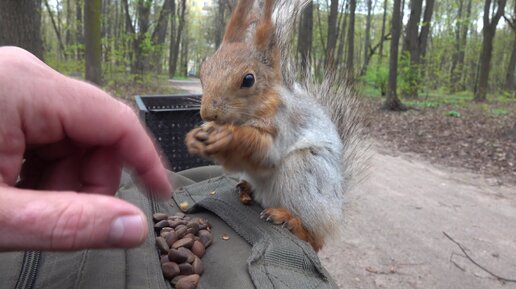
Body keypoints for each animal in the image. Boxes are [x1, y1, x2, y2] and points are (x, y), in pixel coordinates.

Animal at [184, 0, 366, 250]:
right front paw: (194, 138)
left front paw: (230, 136)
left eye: (248, 79)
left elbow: (264, 152)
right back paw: (246, 190)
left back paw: (291, 221)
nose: (208, 113)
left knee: (316, 238)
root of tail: (337, 209)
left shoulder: (285, 126)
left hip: (304, 171)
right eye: (203, 71)